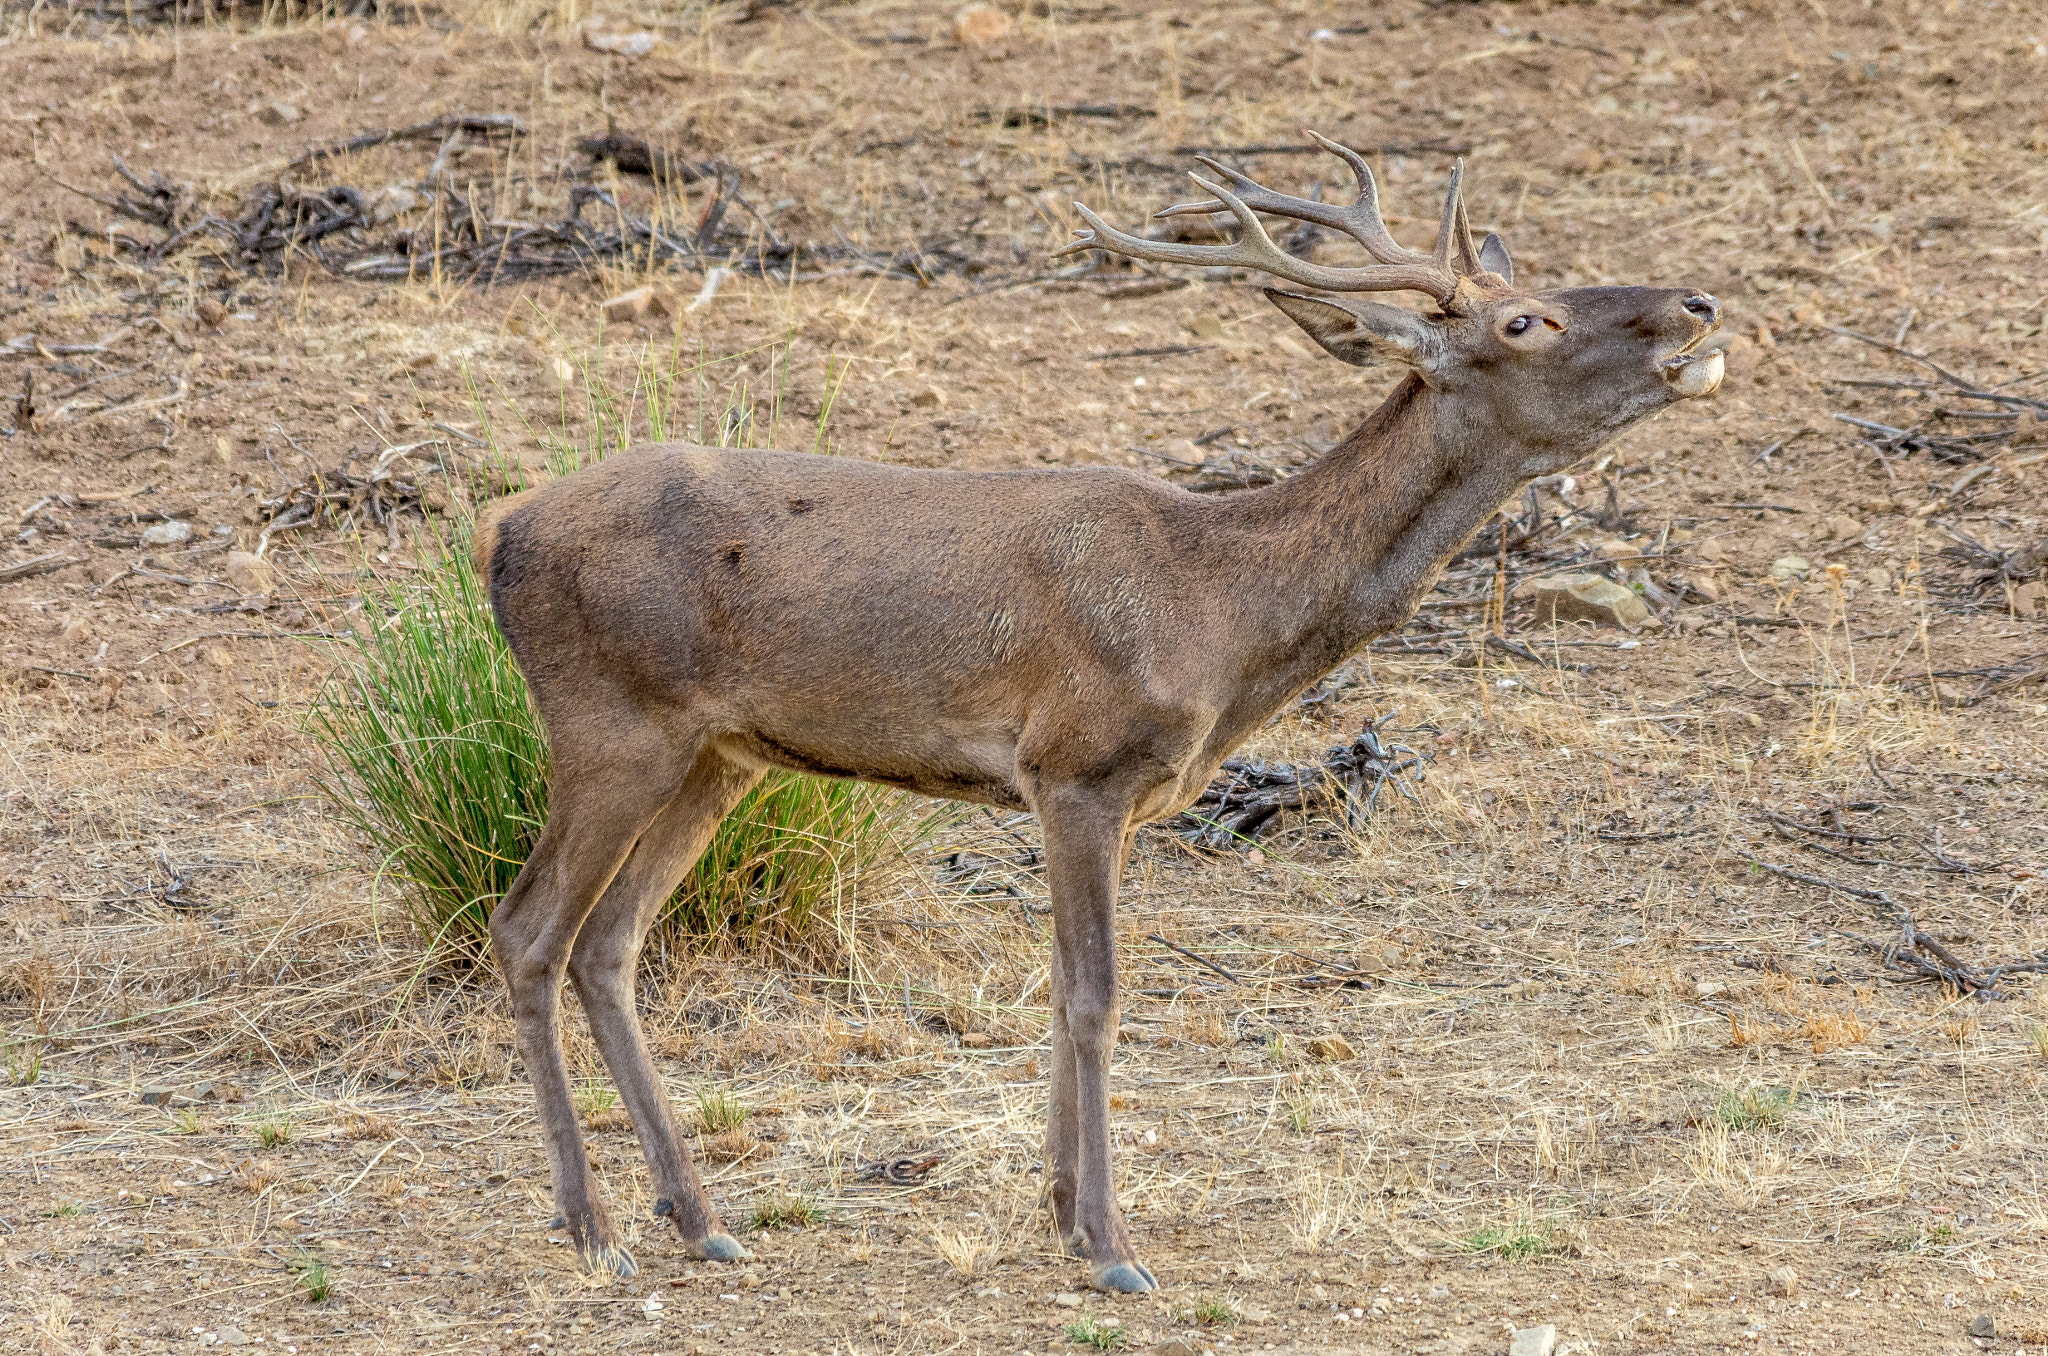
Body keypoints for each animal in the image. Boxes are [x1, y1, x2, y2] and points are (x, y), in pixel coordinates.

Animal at [471, 135, 1720, 1294]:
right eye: (1525, 318)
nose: (1697, 303)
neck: (1220, 609)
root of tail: (497, 535)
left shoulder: (1106, 794)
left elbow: (1058, 991)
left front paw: (1060, 1208)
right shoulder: (1077, 764)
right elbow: (1092, 997)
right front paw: (1111, 1245)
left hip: (720, 757)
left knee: (609, 943)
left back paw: (697, 1219)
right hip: (609, 721)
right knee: (528, 930)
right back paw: (592, 1228)